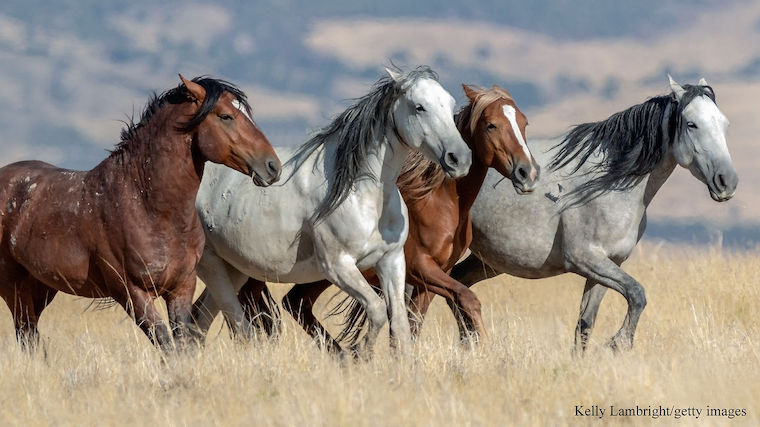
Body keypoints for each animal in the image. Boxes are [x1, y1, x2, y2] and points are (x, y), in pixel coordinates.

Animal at [0, 75, 281, 351]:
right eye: (225, 116)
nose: (272, 166)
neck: (148, 207)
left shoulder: (181, 288)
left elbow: (182, 345)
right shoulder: (132, 293)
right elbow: (166, 344)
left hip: (41, 286)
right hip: (14, 287)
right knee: (26, 333)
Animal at [191, 66, 472, 353]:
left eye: (451, 105)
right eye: (419, 107)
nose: (459, 158)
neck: (363, 195)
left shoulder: (391, 261)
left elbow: (400, 327)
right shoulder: (338, 266)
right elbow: (377, 310)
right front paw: (359, 354)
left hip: (234, 268)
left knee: (199, 320)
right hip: (212, 265)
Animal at [224, 84, 540, 350]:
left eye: (524, 123)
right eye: (491, 125)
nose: (528, 173)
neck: (439, 203)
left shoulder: (433, 275)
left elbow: (413, 323)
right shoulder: (421, 268)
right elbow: (468, 299)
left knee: (295, 304)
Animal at [431, 76, 737, 352]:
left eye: (724, 123)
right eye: (691, 124)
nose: (727, 182)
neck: (609, 183)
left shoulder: (608, 264)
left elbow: (585, 325)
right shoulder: (584, 259)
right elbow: (637, 294)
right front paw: (619, 343)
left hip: (488, 261)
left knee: (458, 285)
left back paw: (471, 347)